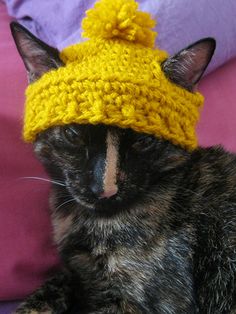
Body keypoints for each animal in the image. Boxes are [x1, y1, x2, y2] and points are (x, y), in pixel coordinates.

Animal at [10, 20, 236, 312]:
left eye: (143, 140)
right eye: (73, 134)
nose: (104, 189)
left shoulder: (145, 298)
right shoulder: (76, 272)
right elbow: (51, 288)